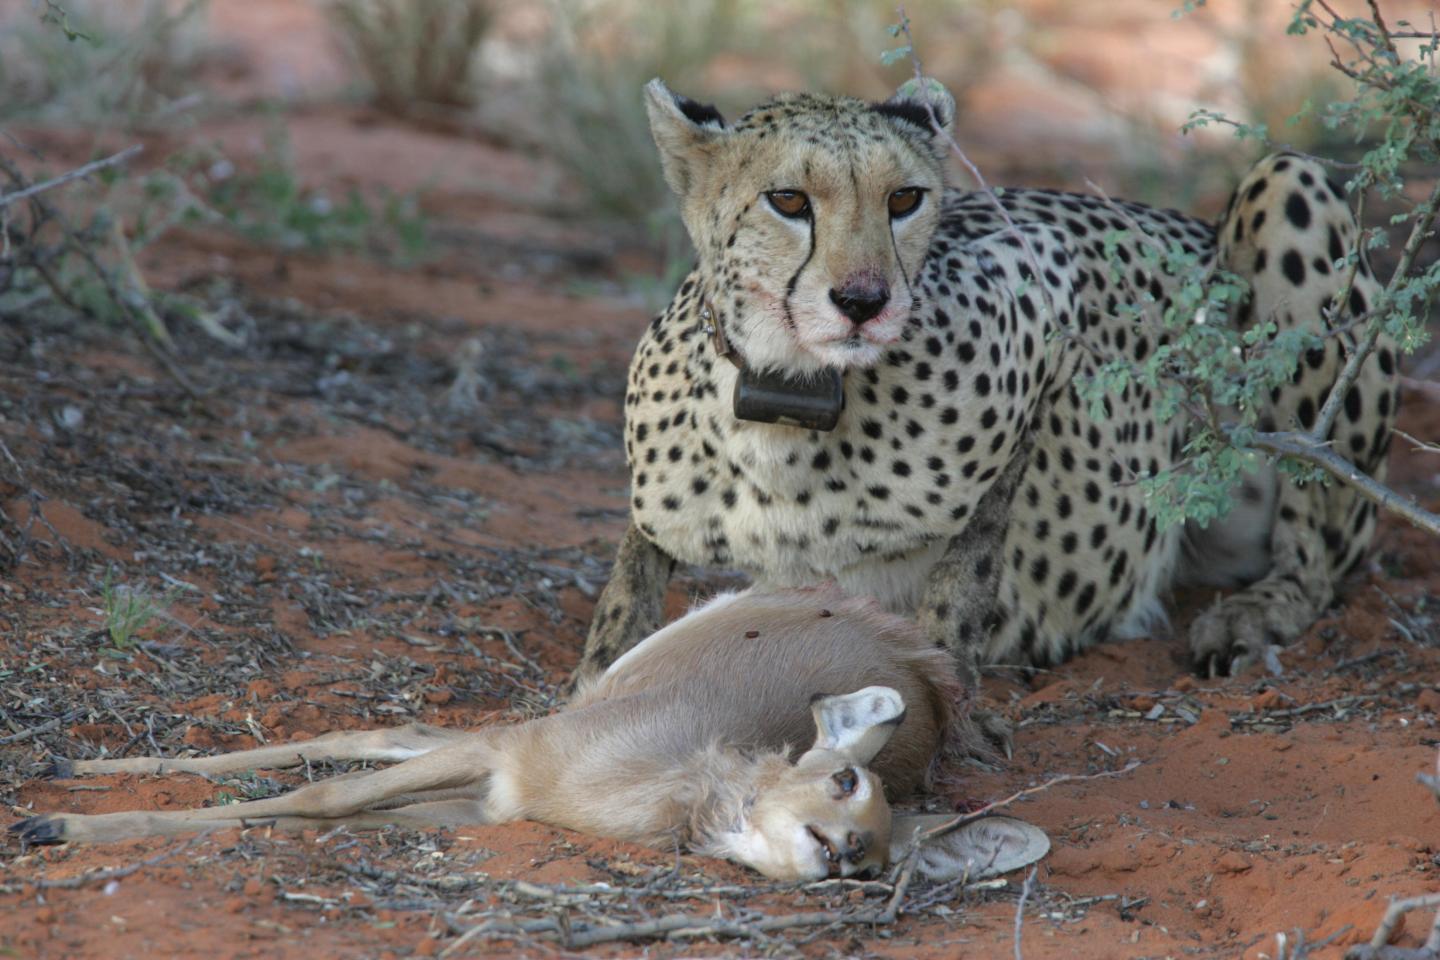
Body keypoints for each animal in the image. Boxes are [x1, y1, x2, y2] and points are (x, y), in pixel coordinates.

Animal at [11, 587, 1048, 880]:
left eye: (880, 858)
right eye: (844, 782)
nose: (840, 853)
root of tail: (912, 657)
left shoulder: (484, 802)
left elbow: (315, 817)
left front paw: (65, 821)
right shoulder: (502, 757)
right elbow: (318, 793)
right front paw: (55, 826)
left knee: (395, 729)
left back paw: (73, 761)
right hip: (551, 709)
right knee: (379, 733)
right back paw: (75, 766)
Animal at [570, 78, 1393, 702]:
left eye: (904, 200)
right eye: (790, 201)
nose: (864, 301)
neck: (793, 394)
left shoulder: (1048, 296)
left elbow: (968, 559)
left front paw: (945, 686)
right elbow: (629, 578)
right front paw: (595, 677)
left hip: (1287, 184)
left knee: (1315, 548)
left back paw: (1253, 613)